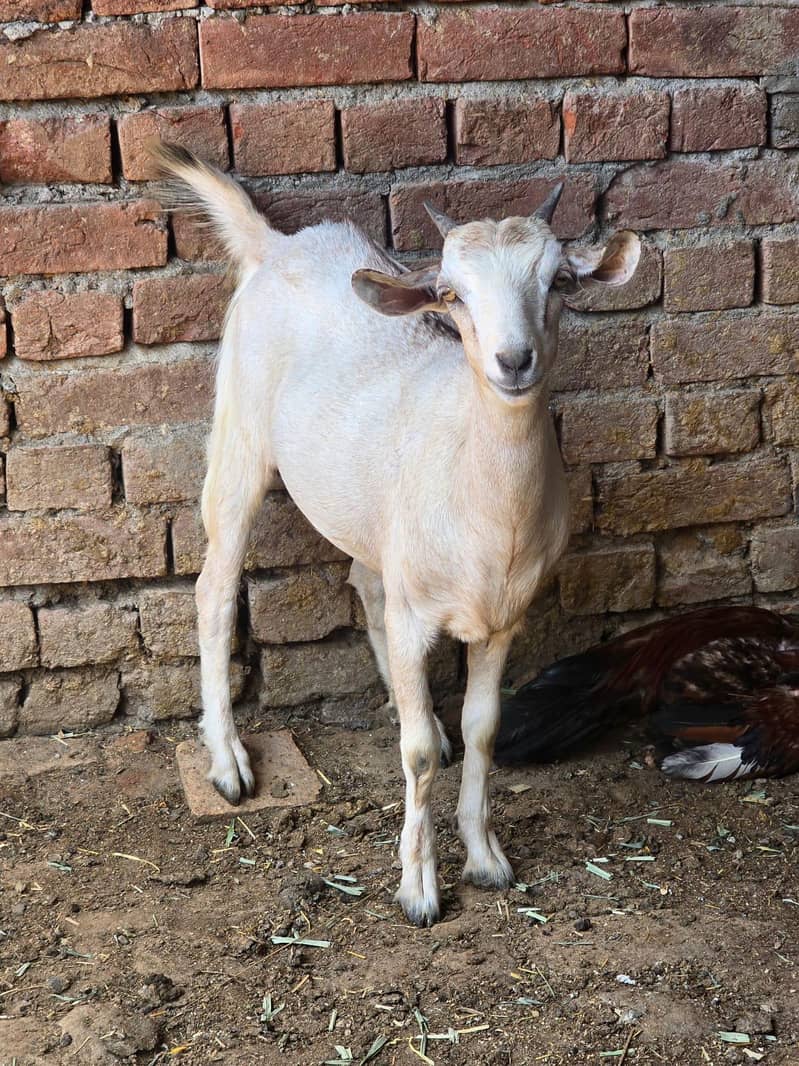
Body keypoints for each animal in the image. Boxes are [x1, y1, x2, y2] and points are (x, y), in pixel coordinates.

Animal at [154, 144, 640, 926]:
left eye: (560, 281)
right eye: (450, 294)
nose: (513, 360)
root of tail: (278, 243)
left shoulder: (505, 617)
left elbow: (484, 729)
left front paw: (485, 858)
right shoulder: (418, 613)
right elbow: (411, 757)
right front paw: (418, 889)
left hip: (374, 522)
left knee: (363, 580)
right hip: (237, 429)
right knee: (213, 588)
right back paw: (228, 763)